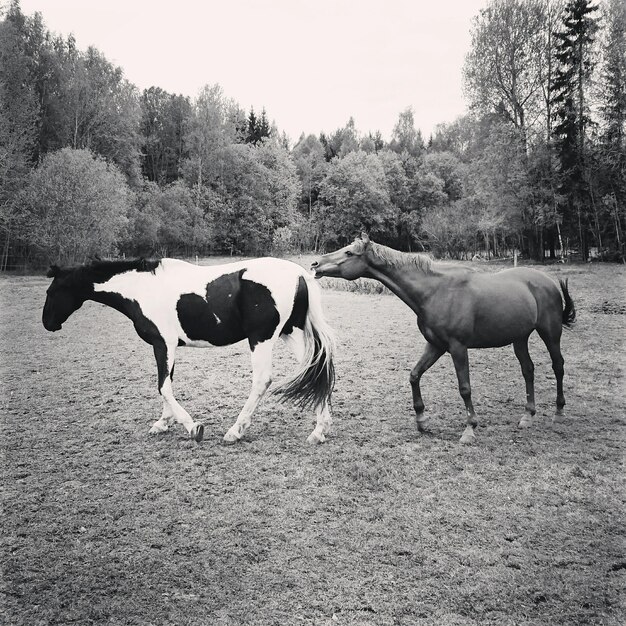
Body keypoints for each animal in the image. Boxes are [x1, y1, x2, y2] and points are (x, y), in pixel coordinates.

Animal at [42, 258, 336, 444]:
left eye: (53, 291)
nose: (47, 323)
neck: (142, 289)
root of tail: (300, 274)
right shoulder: (167, 347)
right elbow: (167, 385)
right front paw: (162, 423)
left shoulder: (163, 344)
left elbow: (163, 387)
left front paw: (193, 427)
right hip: (290, 333)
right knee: (315, 369)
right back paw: (319, 431)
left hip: (261, 339)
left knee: (262, 381)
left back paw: (235, 431)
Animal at [310, 232, 572, 442]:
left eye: (348, 252)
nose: (315, 264)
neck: (434, 291)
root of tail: (547, 282)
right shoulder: (435, 345)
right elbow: (414, 375)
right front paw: (422, 421)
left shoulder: (458, 347)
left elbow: (464, 387)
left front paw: (470, 429)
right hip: (520, 338)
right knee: (528, 370)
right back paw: (527, 416)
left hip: (550, 333)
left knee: (558, 366)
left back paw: (559, 413)